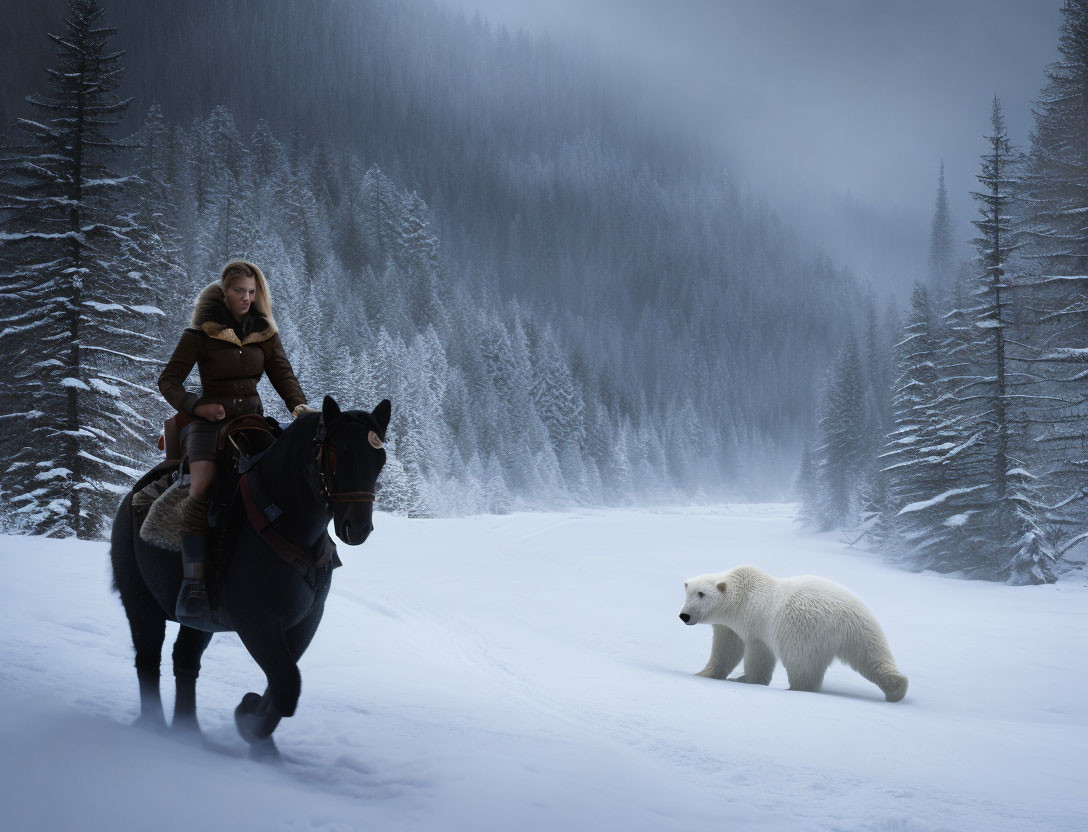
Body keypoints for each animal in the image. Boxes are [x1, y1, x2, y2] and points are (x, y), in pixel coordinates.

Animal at [109, 395, 391, 761]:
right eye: (336, 453)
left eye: (379, 458)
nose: (356, 527)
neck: (285, 521)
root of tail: (133, 495)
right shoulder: (256, 622)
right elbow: (287, 686)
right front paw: (249, 722)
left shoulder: (305, 621)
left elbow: (281, 685)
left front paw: (256, 727)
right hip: (139, 600)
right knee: (148, 658)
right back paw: (155, 726)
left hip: (199, 620)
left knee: (184, 660)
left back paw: (189, 732)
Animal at [678, 565, 909, 700]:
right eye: (688, 593)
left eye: (702, 594)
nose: (684, 616)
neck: (740, 597)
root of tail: (844, 619)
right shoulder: (729, 626)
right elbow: (726, 649)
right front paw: (705, 674)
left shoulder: (755, 626)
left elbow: (757, 655)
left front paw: (746, 680)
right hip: (865, 629)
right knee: (872, 656)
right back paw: (897, 687)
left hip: (804, 631)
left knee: (802, 666)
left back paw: (794, 689)